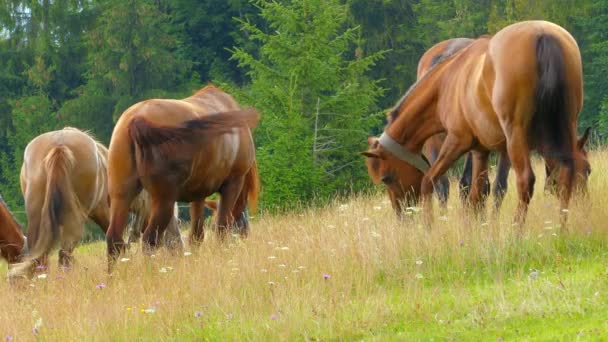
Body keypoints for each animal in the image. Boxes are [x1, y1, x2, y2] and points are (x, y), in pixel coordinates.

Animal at [106, 85, 258, 268]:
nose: (246, 235)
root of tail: (137, 118)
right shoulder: (233, 184)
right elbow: (221, 228)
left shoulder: (199, 193)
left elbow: (196, 235)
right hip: (164, 201)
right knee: (150, 240)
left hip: (121, 197)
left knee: (114, 240)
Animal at [360, 20, 588, 224]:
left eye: (386, 178)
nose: (403, 217)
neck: (446, 82)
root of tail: (542, 35)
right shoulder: (481, 150)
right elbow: (477, 193)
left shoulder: (458, 141)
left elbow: (429, 182)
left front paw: (430, 226)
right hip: (566, 124)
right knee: (564, 172)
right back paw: (561, 228)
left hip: (514, 137)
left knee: (524, 180)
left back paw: (517, 233)